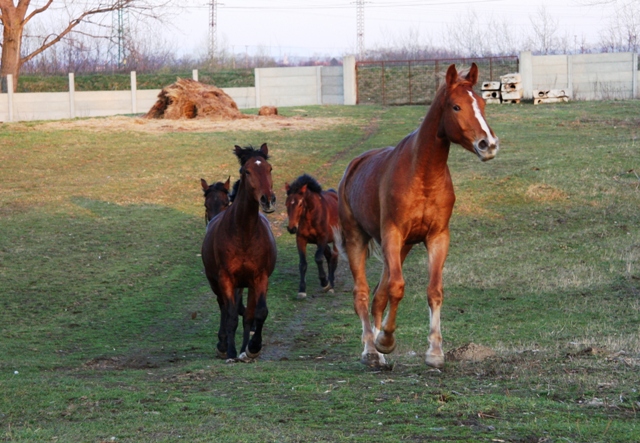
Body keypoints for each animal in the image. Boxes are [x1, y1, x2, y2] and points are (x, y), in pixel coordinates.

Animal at [202, 144, 278, 362]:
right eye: (247, 171)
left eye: (269, 168)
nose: (268, 200)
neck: (244, 233)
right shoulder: (226, 278)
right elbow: (231, 315)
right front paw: (230, 352)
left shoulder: (259, 278)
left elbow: (258, 313)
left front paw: (252, 348)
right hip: (216, 281)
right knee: (224, 307)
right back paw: (223, 345)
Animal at [336, 64, 500, 370]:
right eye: (456, 106)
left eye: (483, 104)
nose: (489, 144)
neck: (422, 174)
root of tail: (355, 165)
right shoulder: (392, 233)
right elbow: (397, 288)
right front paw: (386, 341)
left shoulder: (437, 237)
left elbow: (433, 290)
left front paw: (435, 352)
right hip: (357, 239)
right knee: (362, 293)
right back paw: (371, 350)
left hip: (403, 248)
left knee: (378, 295)